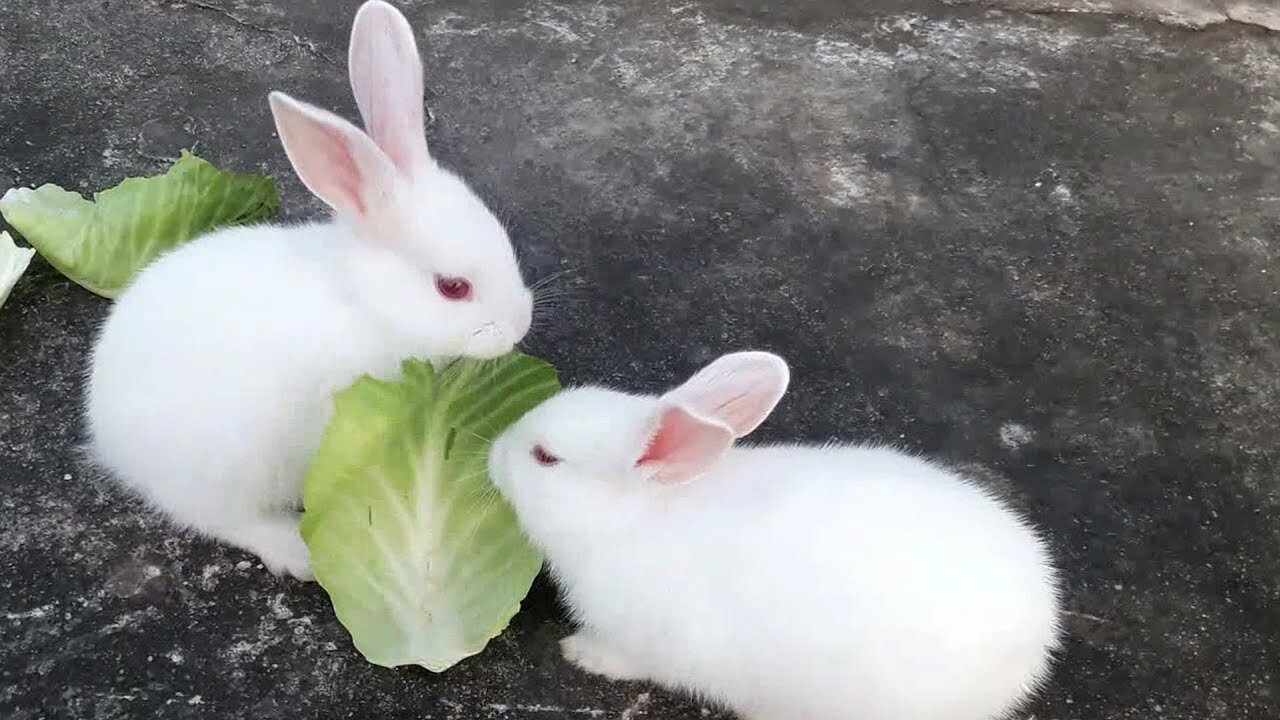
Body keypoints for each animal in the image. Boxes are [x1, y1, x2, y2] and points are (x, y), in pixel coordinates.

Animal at [86, 0, 529, 576]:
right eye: (453, 287)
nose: (519, 327)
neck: (367, 303)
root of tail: (107, 437)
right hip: (230, 460)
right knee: (216, 516)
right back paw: (292, 549)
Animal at [486, 351, 1059, 717]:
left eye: (545, 457)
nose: (491, 452)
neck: (633, 517)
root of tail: (1035, 646)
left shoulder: (650, 641)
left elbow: (628, 661)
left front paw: (581, 654)